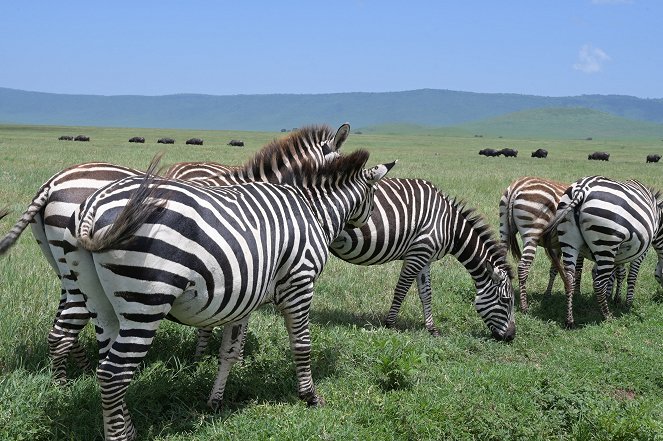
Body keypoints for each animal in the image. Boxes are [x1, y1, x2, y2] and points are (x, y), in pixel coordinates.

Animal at [0, 124, 350, 382]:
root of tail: (51, 182)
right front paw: (210, 359)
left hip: (67, 270)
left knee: (71, 322)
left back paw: (81, 371)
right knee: (63, 330)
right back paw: (62, 384)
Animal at [63, 149, 394, 440]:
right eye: (374, 195)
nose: (368, 222)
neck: (311, 209)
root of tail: (95, 205)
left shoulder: (244, 295)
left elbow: (230, 352)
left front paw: (215, 402)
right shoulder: (300, 282)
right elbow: (302, 345)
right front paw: (310, 396)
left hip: (101, 304)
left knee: (107, 365)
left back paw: (128, 428)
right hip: (145, 302)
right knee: (113, 373)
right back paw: (120, 436)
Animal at [330, 178, 516, 340]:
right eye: (506, 300)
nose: (511, 337)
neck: (448, 227)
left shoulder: (425, 258)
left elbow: (426, 293)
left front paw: (432, 329)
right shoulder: (418, 253)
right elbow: (401, 290)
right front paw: (390, 324)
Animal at [544, 175, 663, 326]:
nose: (660, 298)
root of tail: (582, 189)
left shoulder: (620, 252)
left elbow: (618, 274)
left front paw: (613, 297)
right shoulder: (641, 251)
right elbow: (631, 277)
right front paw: (626, 303)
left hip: (570, 241)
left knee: (570, 277)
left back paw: (569, 320)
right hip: (606, 242)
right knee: (599, 283)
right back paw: (607, 316)